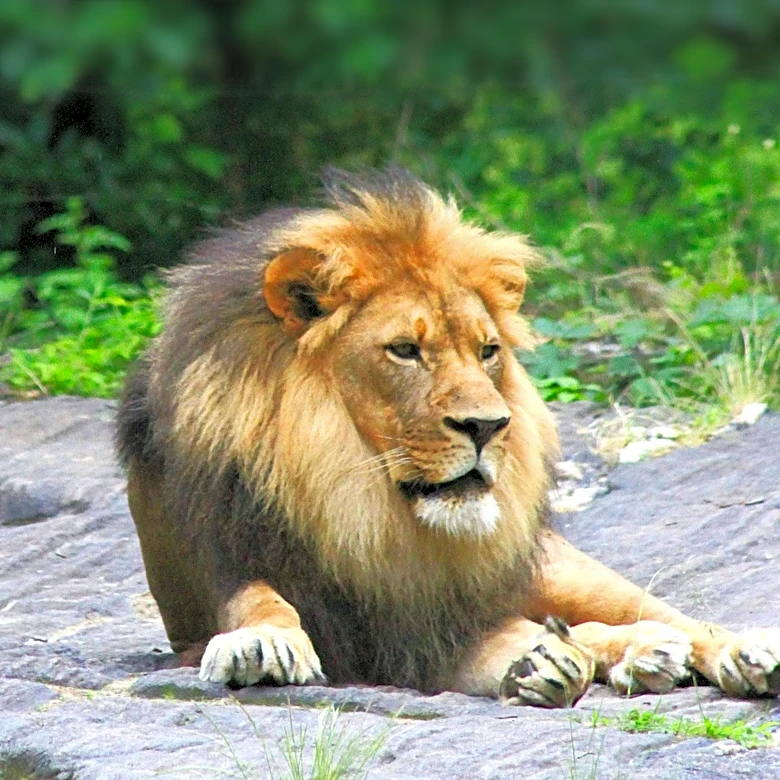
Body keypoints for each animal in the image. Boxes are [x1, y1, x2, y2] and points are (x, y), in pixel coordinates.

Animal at [118, 168, 780, 707]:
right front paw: (261, 642)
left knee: (664, 617)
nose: (487, 426)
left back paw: (736, 654)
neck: (352, 497)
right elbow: (254, 598)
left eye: (487, 351)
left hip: (557, 568)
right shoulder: (217, 569)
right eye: (405, 350)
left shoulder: (429, 625)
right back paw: (642, 658)